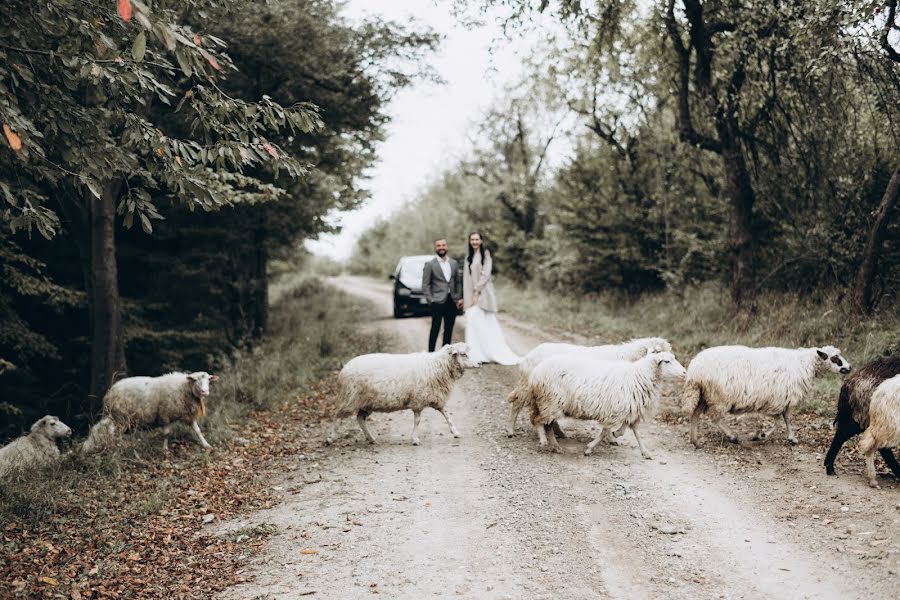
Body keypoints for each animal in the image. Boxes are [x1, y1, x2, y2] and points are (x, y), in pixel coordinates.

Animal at [82, 370, 220, 450]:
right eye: (195, 380)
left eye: (208, 380)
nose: (205, 392)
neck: (184, 388)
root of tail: (109, 394)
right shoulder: (165, 415)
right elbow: (166, 434)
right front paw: (165, 450)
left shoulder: (187, 415)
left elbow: (198, 430)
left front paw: (206, 445)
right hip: (121, 418)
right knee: (113, 434)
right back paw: (118, 448)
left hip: (119, 419)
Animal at [326, 342, 478, 446]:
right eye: (463, 354)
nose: (479, 364)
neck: (438, 365)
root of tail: (344, 369)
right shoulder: (418, 399)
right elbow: (418, 420)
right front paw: (415, 439)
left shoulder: (435, 398)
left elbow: (447, 415)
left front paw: (455, 432)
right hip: (350, 397)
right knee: (337, 416)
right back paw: (330, 438)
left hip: (366, 402)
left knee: (360, 418)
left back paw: (371, 438)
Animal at [502, 338, 672, 436]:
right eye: (662, 356)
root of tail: (529, 356)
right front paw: (611, 438)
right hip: (532, 389)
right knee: (517, 404)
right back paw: (511, 430)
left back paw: (558, 433)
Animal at [524, 352, 684, 460]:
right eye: (667, 361)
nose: (684, 372)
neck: (640, 375)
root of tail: (536, 372)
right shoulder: (614, 411)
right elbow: (605, 431)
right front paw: (590, 448)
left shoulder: (629, 409)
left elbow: (633, 431)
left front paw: (645, 452)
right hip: (550, 402)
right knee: (538, 421)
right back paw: (544, 442)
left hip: (550, 404)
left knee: (547, 425)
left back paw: (556, 447)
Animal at [684, 344, 852, 448]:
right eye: (835, 358)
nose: (849, 367)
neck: (805, 364)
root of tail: (695, 370)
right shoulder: (778, 399)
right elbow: (780, 420)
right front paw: (762, 435)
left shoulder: (783, 399)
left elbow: (785, 419)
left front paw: (790, 438)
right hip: (719, 397)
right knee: (715, 417)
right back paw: (732, 436)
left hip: (704, 395)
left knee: (695, 415)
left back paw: (695, 441)